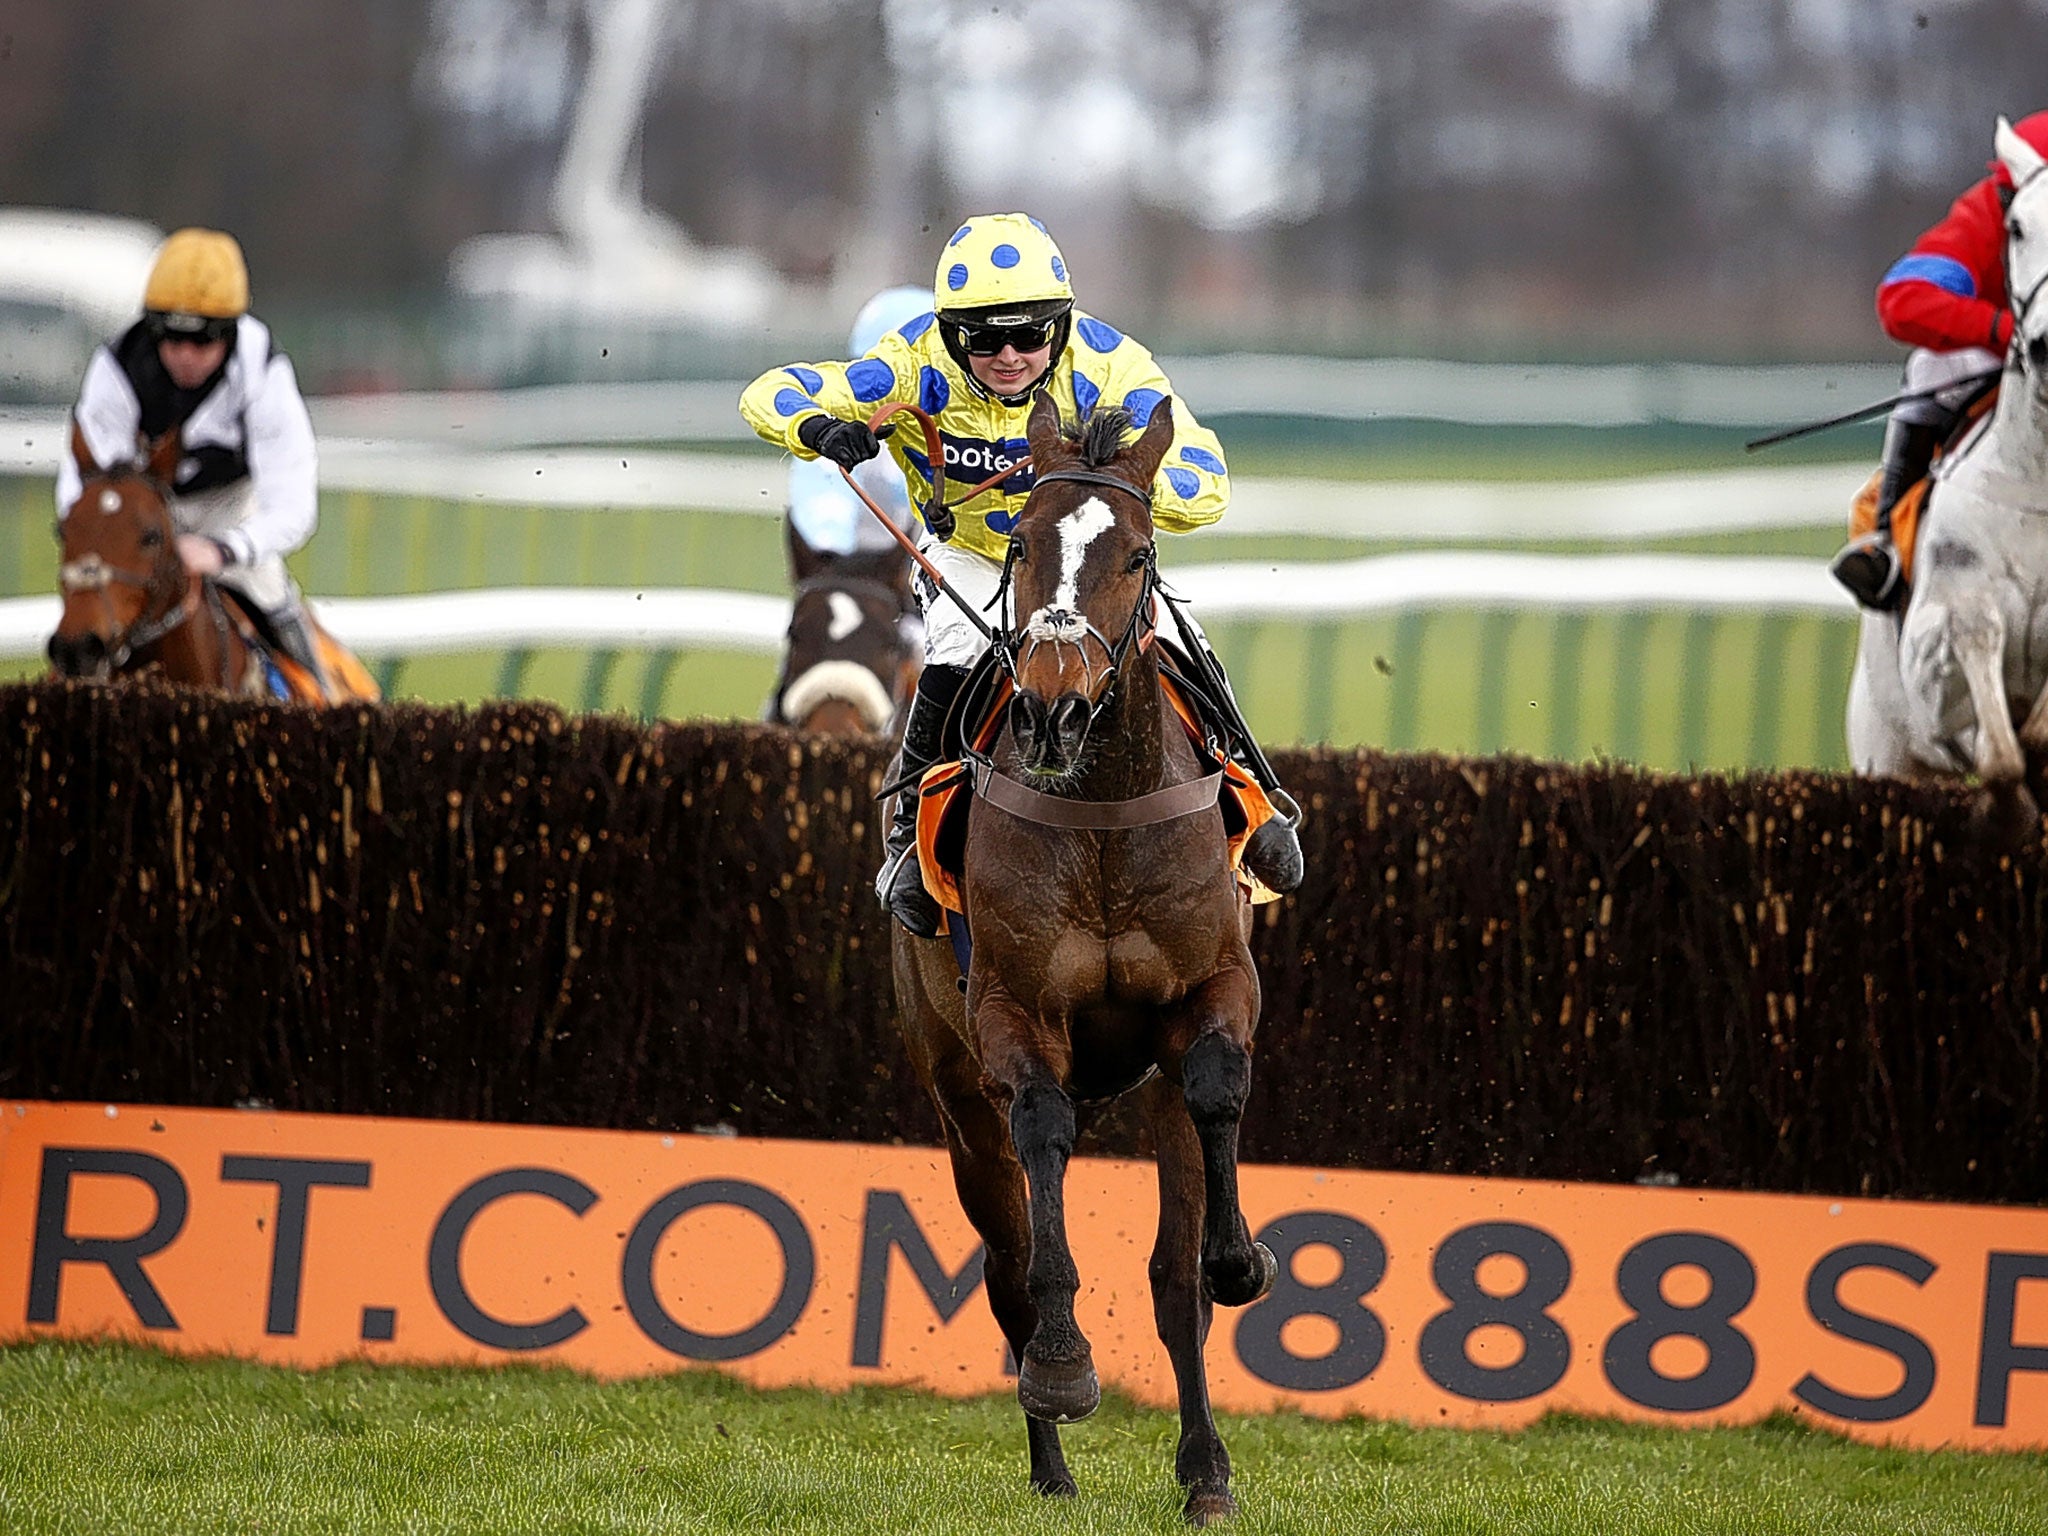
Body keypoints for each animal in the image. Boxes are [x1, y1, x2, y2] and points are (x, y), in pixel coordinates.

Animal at [892, 397, 1269, 1531]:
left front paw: (1237, 1260)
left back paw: (1203, 1468)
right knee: (1008, 1263)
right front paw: (1062, 1370)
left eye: (1137, 554)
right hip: (954, 1100)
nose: (1052, 709)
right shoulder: (1011, 1015)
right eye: (1019, 543)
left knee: (1169, 1279)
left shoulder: (1216, 988)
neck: (1099, 806)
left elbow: (1216, 1093)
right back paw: (1050, 1466)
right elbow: (1045, 1137)